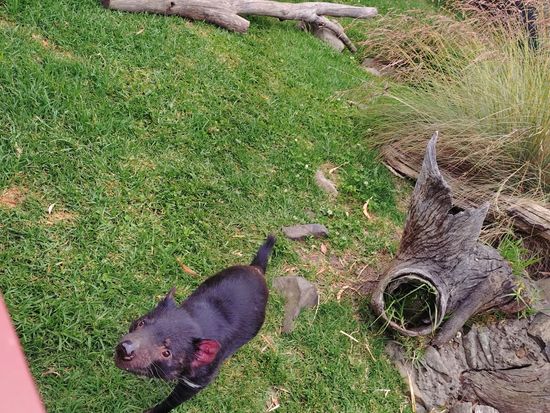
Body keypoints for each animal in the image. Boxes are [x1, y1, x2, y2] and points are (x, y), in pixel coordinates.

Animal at [114, 235, 275, 413]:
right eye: (141, 323)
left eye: (167, 353)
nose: (126, 348)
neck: (196, 320)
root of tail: (257, 269)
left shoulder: (197, 381)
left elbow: (172, 401)